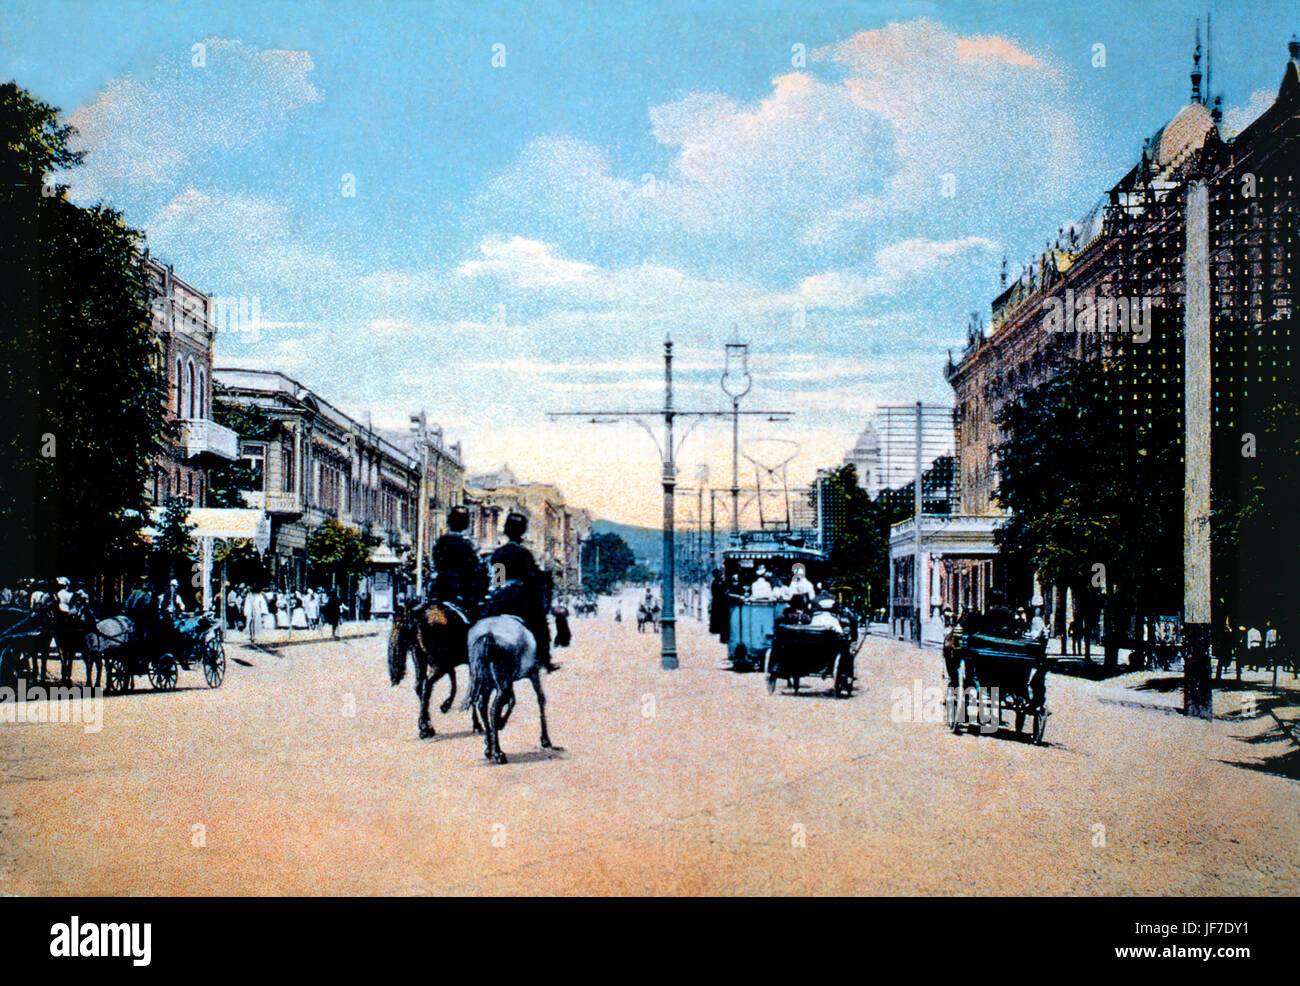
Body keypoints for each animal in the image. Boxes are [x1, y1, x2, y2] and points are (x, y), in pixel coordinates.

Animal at [392, 603, 486, 738]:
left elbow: (456, 682)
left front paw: (446, 705)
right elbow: (471, 690)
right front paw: (477, 725)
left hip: (420, 660)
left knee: (419, 687)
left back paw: (427, 728)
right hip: (438, 665)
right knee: (426, 686)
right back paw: (425, 726)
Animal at [460, 613, 551, 770]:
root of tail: (488, 634)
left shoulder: (506, 683)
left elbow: (512, 700)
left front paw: (498, 727)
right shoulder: (533, 673)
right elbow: (540, 699)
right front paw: (545, 739)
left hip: (488, 684)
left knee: (483, 706)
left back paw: (490, 748)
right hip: (501, 684)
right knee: (493, 709)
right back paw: (498, 753)